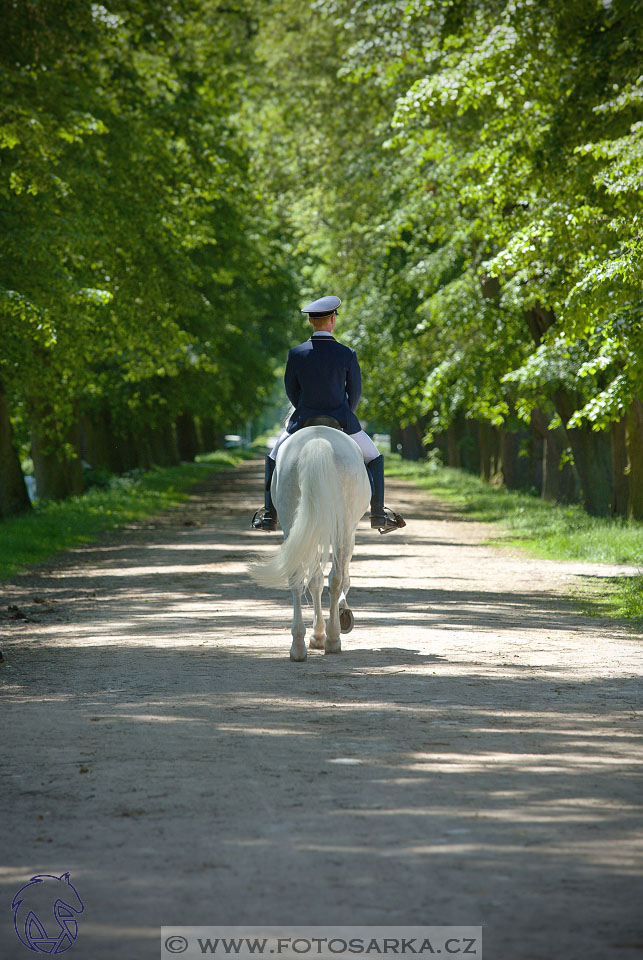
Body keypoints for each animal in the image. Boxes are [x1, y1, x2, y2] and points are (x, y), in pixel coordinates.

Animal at [252, 428, 372, 660]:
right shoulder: (348, 533)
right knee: (336, 577)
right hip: (343, 528)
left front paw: (317, 634)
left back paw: (298, 646)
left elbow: (315, 580)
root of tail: (317, 441)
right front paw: (339, 617)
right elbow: (342, 577)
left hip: (293, 523)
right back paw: (333, 639)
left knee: (297, 577)